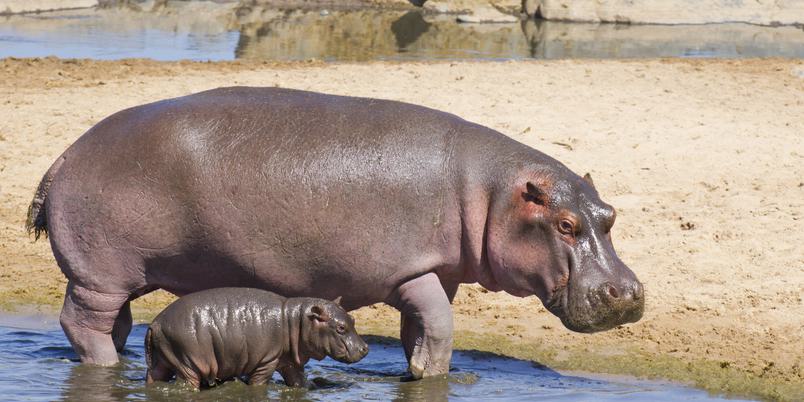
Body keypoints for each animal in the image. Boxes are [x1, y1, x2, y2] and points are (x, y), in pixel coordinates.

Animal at [26, 87, 644, 378]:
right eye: (564, 224)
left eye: (610, 214)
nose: (630, 293)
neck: (490, 192)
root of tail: (64, 155)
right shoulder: (412, 269)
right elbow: (441, 329)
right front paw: (433, 374)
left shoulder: (436, 272)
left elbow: (422, 330)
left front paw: (418, 370)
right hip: (100, 275)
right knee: (83, 323)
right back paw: (108, 370)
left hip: (118, 277)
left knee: (116, 324)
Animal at [145, 288, 367, 388]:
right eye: (340, 327)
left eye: (353, 319)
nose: (365, 348)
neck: (296, 320)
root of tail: (155, 323)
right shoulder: (266, 361)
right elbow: (258, 384)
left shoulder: (290, 362)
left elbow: (299, 382)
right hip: (188, 362)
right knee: (185, 384)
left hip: (164, 359)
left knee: (154, 376)